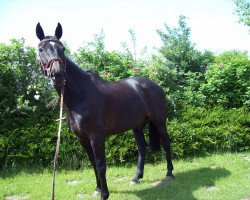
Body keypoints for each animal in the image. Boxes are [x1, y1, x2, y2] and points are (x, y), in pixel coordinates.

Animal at [35, 23, 174, 200]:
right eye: (41, 49)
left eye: (62, 49)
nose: (57, 75)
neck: (81, 95)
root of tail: (154, 85)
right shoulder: (82, 139)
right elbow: (94, 163)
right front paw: (98, 189)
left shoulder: (96, 138)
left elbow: (101, 165)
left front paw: (104, 194)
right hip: (137, 125)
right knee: (142, 147)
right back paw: (136, 177)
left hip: (159, 121)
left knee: (166, 142)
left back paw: (169, 173)